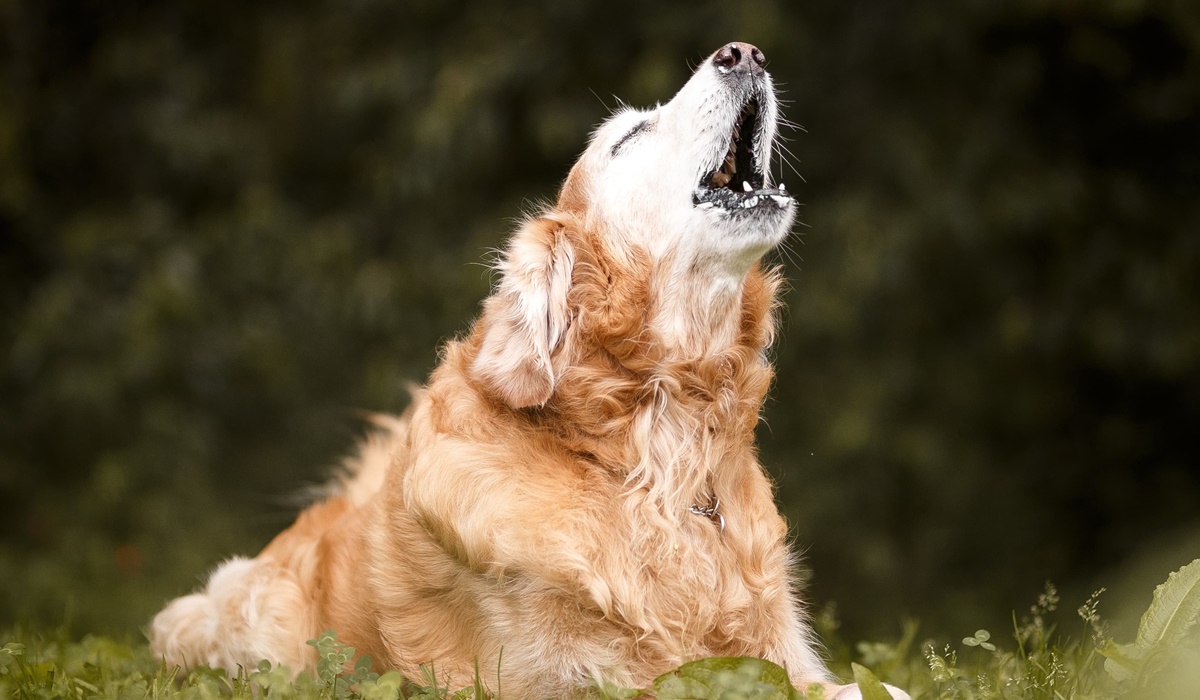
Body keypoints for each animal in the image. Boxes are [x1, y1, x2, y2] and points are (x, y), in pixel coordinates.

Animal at [147, 43, 907, 700]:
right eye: (630, 137)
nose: (743, 53)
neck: (656, 457)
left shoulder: (782, 654)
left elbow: (875, 687)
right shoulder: (578, 681)